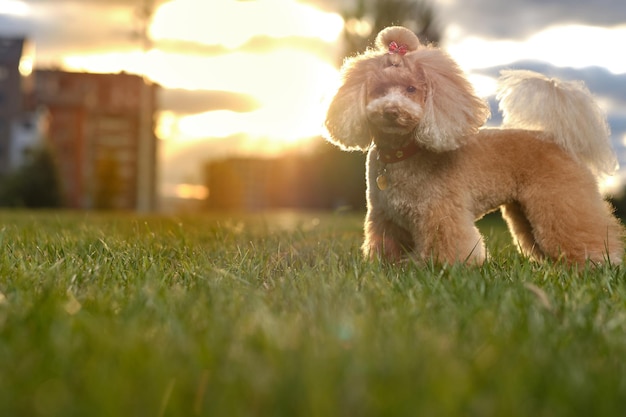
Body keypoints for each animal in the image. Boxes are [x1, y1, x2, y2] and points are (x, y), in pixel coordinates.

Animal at [324, 26, 620, 264]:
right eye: (378, 90)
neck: (402, 152)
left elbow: (447, 248)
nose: (391, 111)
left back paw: (597, 263)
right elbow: (385, 249)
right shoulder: (384, 216)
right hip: (525, 211)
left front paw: (441, 269)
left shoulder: (440, 213)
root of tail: (557, 138)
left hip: (560, 201)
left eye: (411, 89)